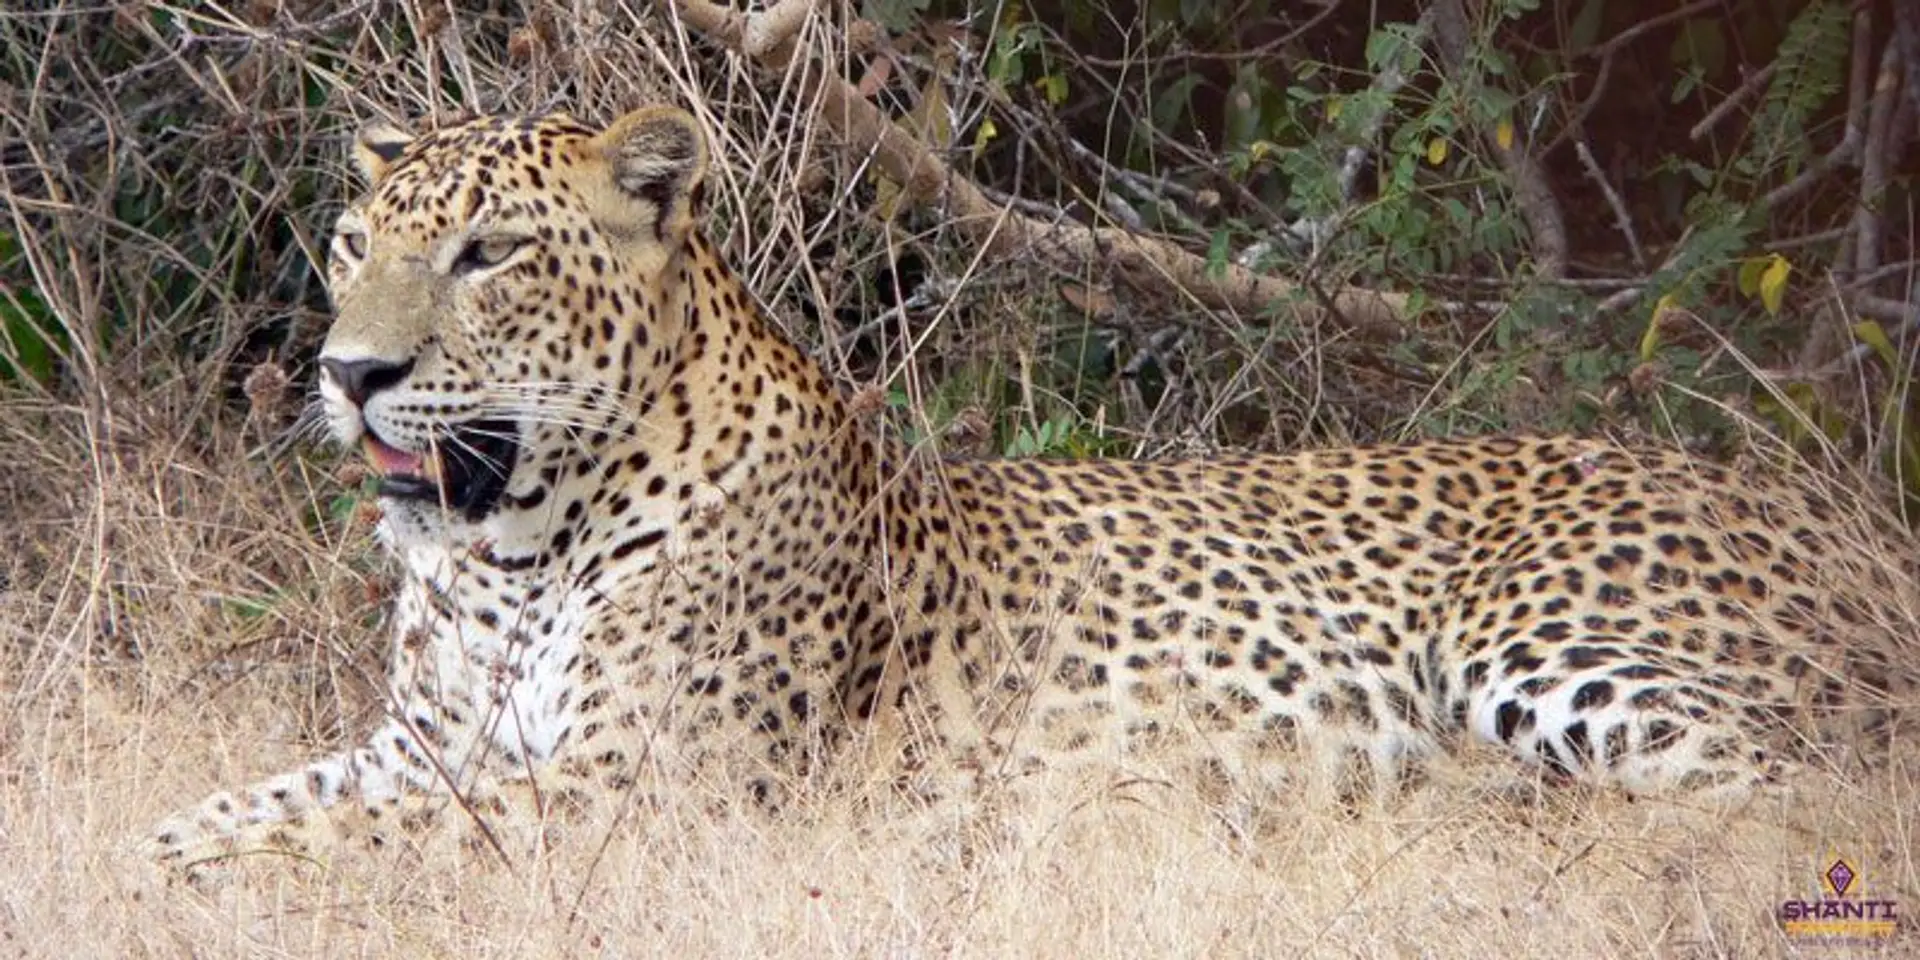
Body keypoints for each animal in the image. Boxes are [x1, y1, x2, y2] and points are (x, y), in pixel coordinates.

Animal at [144, 104, 1917, 874]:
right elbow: (251, 803)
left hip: (1553, 647)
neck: (510, 545)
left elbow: (321, 842)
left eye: (490, 253)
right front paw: (143, 854)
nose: (347, 375)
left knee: (1792, 801)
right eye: (354, 242)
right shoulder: (429, 747)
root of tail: (1852, 516)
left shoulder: (646, 788)